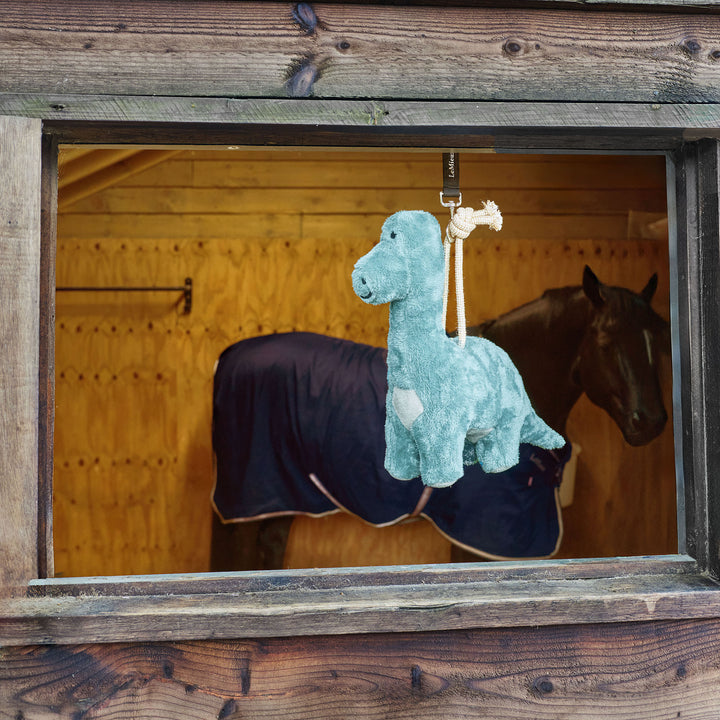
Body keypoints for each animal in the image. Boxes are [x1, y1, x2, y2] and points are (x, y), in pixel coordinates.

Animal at [210, 265, 669, 571]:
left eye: (659, 340)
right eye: (606, 341)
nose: (651, 422)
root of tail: (228, 356)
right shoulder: (481, 535)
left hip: (281, 498)